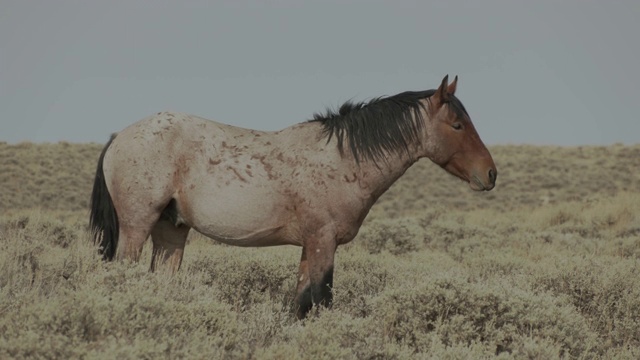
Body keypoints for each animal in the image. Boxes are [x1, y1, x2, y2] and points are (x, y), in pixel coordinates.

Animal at [91, 75, 496, 318]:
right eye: (457, 125)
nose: (490, 174)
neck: (342, 158)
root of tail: (120, 136)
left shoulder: (309, 245)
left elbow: (300, 302)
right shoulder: (323, 242)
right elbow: (319, 299)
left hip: (172, 231)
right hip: (137, 228)